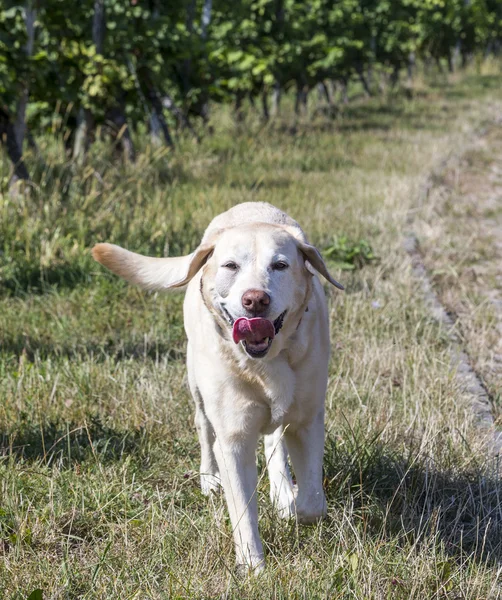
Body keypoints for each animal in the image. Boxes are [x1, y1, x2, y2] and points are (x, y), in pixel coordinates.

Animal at [92, 202, 344, 572]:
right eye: (230, 266)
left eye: (280, 265)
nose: (255, 300)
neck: (264, 362)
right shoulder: (233, 437)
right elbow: (242, 509)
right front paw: (253, 567)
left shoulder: (307, 419)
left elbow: (313, 502)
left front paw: (291, 506)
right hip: (197, 386)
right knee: (204, 429)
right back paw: (209, 478)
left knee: (274, 440)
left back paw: (282, 491)